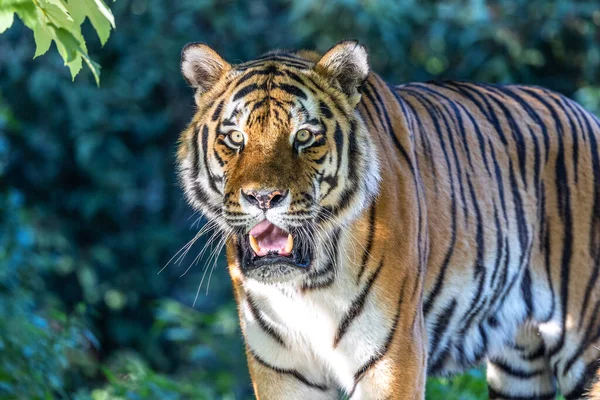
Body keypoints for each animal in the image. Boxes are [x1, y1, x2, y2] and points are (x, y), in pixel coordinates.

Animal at [176, 39, 600, 398]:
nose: (263, 197)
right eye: (235, 137)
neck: (307, 284)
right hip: (519, 367)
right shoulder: (281, 370)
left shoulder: (393, 357)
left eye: (305, 136)